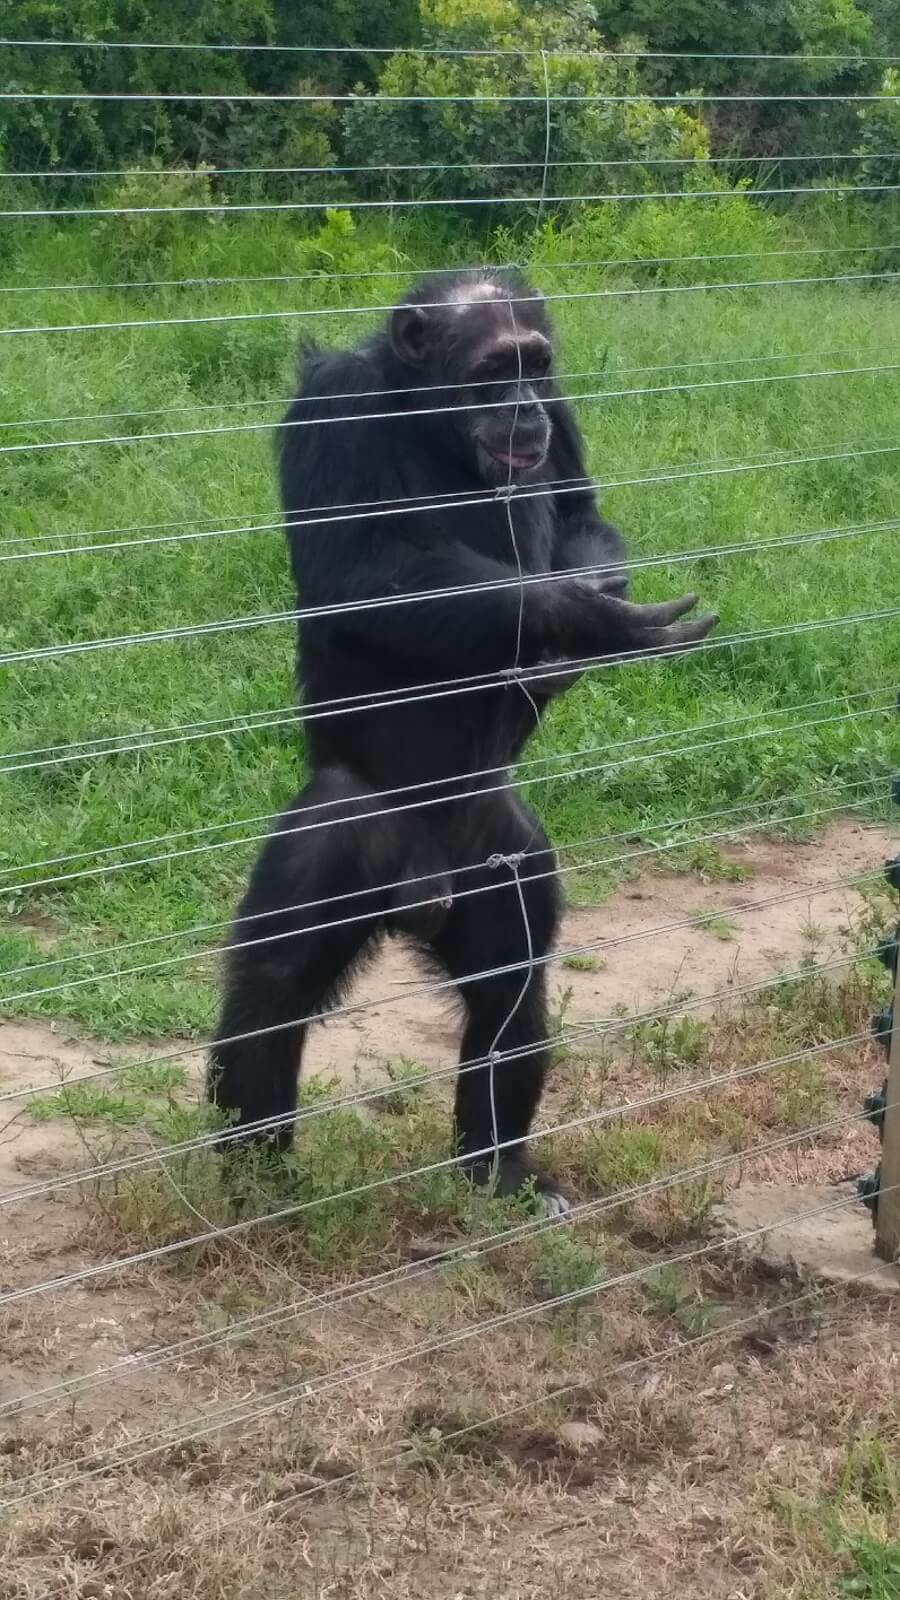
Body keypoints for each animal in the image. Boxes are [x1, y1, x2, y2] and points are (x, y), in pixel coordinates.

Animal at [208, 268, 714, 1209]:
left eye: (534, 365)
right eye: (491, 371)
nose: (521, 408)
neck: (428, 417)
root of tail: (422, 883)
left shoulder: (563, 405)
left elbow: (581, 511)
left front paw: (587, 601)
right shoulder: (331, 409)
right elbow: (358, 565)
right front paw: (577, 615)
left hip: (498, 848)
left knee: (507, 986)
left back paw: (498, 1167)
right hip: (342, 832)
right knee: (272, 991)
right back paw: (257, 1191)